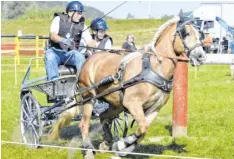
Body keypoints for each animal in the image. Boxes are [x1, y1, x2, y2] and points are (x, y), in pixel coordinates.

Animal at [48, 10, 206, 158]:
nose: (201, 57)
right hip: (88, 98)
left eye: (199, 34)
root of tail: (89, 59)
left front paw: (122, 147)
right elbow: (142, 127)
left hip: (116, 105)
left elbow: (143, 130)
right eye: (186, 33)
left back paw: (106, 142)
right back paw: (88, 149)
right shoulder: (132, 103)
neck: (154, 68)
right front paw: (122, 144)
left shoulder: (155, 108)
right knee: (84, 123)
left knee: (103, 116)